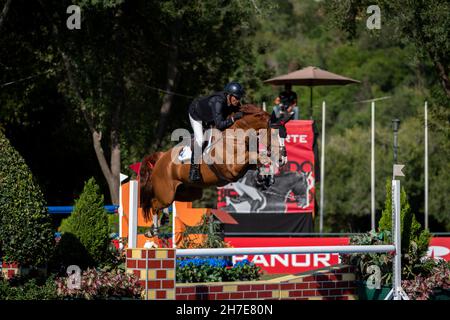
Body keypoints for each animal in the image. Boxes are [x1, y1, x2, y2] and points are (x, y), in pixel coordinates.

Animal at [139, 104, 280, 236]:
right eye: (274, 133)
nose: (278, 154)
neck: (234, 137)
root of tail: (161, 157)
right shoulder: (232, 169)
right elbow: (256, 157)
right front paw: (265, 176)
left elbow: (259, 160)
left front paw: (266, 179)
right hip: (166, 193)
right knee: (154, 204)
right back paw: (153, 230)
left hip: (188, 192)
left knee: (166, 203)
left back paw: (162, 221)